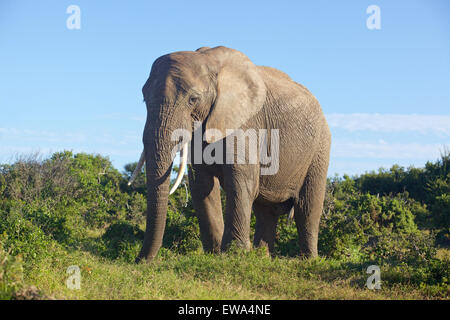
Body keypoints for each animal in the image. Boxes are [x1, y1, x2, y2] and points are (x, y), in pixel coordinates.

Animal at [129, 47, 330, 262]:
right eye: (144, 98)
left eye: (193, 99)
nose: (141, 261)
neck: (209, 61)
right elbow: (202, 185)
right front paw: (215, 253)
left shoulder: (246, 123)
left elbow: (240, 180)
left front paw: (234, 254)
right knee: (265, 211)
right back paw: (261, 258)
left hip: (320, 147)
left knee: (307, 208)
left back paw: (308, 260)